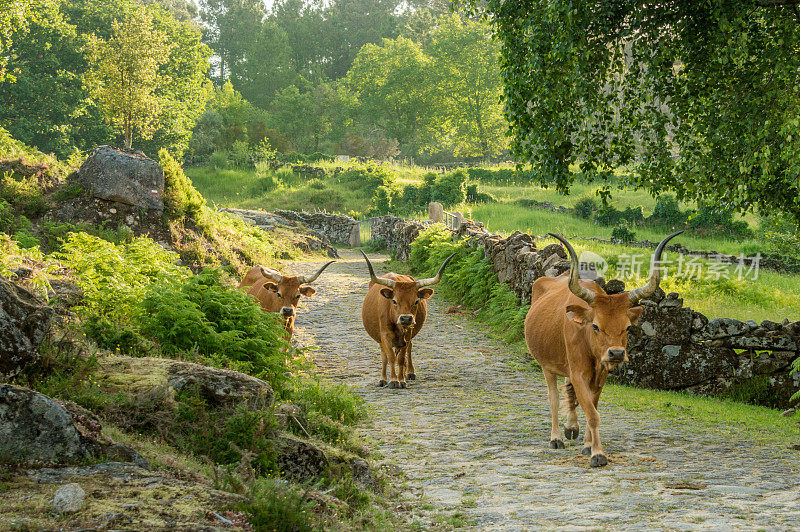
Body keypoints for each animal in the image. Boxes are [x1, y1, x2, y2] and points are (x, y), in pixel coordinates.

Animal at [360, 251, 454, 388]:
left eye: (416, 301)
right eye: (394, 301)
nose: (406, 318)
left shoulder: (407, 334)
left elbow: (401, 358)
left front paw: (401, 380)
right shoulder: (385, 335)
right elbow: (391, 357)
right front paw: (393, 380)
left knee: (408, 350)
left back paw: (409, 372)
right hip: (380, 338)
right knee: (384, 355)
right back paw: (383, 379)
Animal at [524, 231, 680, 468]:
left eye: (627, 327)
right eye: (596, 326)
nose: (616, 353)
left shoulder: (601, 375)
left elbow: (591, 406)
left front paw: (588, 445)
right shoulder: (579, 373)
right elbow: (592, 413)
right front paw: (598, 454)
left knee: (569, 392)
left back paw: (571, 427)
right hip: (546, 366)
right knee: (553, 398)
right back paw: (556, 438)